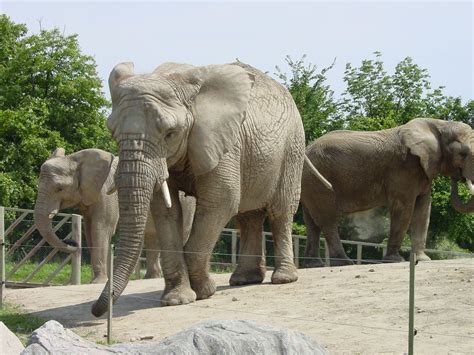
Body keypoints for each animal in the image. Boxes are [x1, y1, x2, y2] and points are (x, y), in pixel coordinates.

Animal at [34, 147, 195, 284]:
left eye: (59, 189)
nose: (72, 242)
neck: (75, 159)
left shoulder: (106, 195)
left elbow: (101, 229)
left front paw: (98, 282)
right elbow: (90, 230)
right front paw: (98, 280)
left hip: (186, 204)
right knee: (152, 237)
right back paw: (150, 278)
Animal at [90, 59, 330, 318]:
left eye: (170, 134)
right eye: (113, 133)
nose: (95, 311)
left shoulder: (224, 142)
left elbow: (221, 200)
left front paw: (205, 291)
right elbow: (166, 211)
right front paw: (177, 300)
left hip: (292, 148)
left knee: (280, 212)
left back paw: (283, 279)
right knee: (249, 217)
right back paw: (244, 280)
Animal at [302, 117, 472, 268]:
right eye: (462, 154)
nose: (459, 176)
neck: (440, 124)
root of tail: (307, 149)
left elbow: (423, 211)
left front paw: (423, 260)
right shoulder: (404, 168)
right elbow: (404, 209)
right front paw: (395, 260)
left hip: (309, 183)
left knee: (312, 223)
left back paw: (314, 264)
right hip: (319, 182)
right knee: (328, 220)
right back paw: (344, 263)